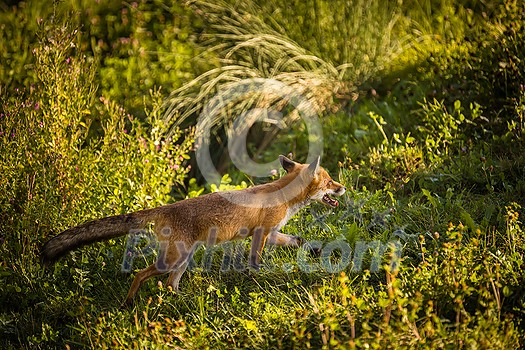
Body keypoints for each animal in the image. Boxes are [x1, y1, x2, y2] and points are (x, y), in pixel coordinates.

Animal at [41, 154, 344, 304]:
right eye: (330, 181)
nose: (343, 188)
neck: (283, 195)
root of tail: (163, 208)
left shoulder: (272, 233)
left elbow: (299, 240)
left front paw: (316, 251)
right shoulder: (261, 234)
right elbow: (256, 262)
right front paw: (260, 278)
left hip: (182, 260)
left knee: (169, 285)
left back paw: (182, 301)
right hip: (171, 260)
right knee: (141, 274)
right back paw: (128, 302)